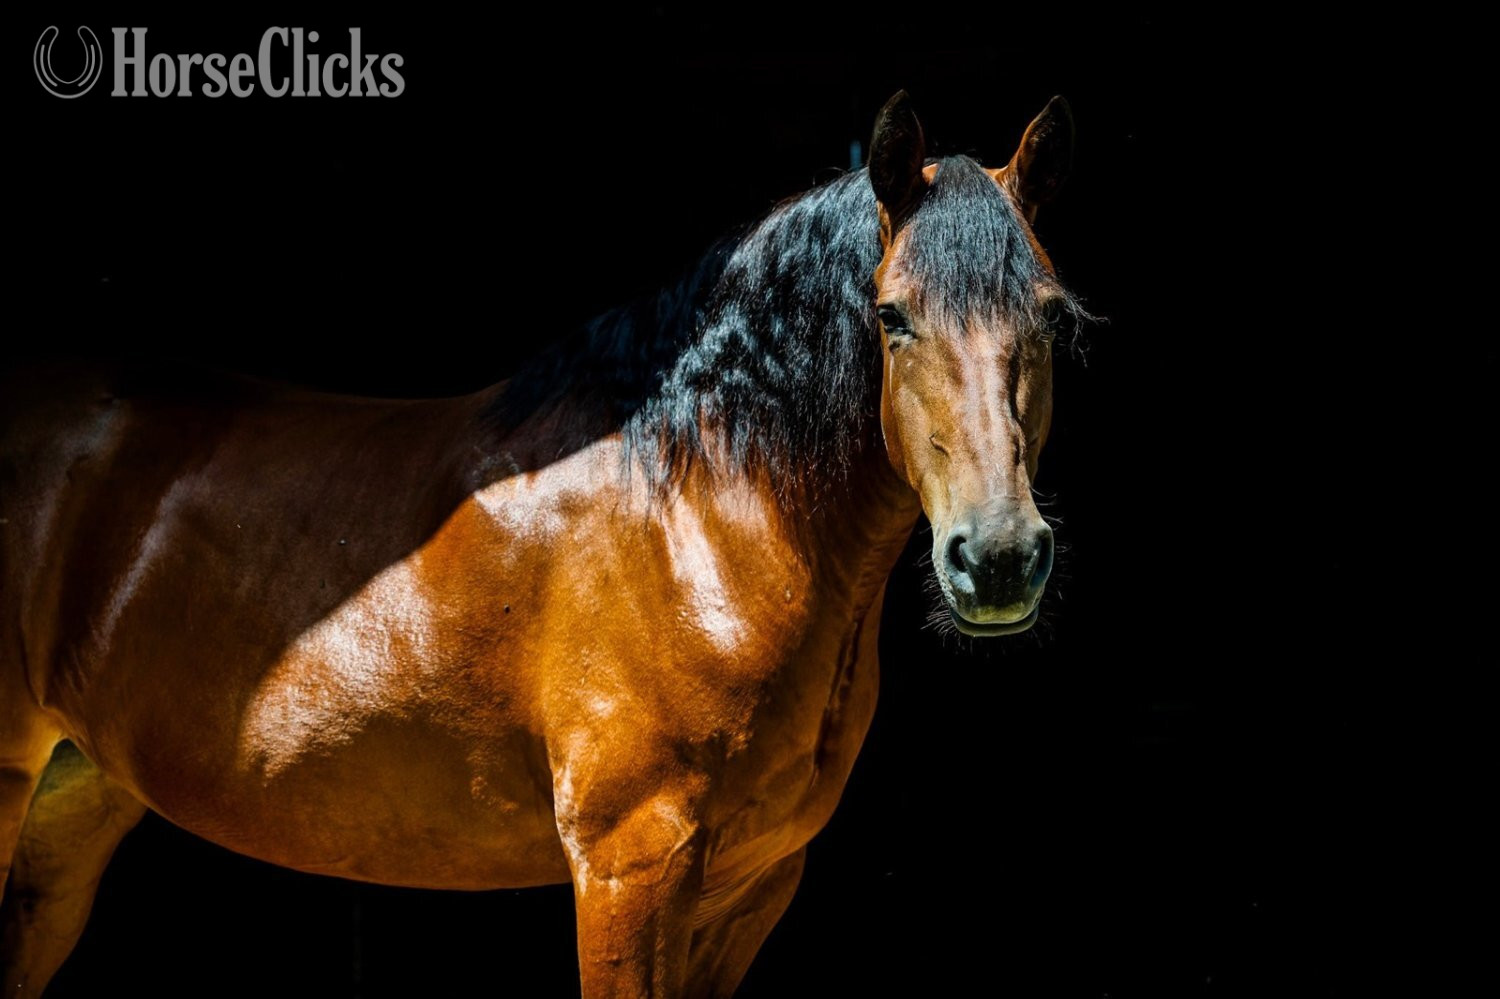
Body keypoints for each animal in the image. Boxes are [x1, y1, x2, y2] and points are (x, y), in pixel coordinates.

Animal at [0, 92, 1082, 997]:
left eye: (1053, 315)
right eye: (892, 316)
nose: (997, 557)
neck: (698, 517)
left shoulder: (748, 890)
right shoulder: (629, 869)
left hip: (68, 811)